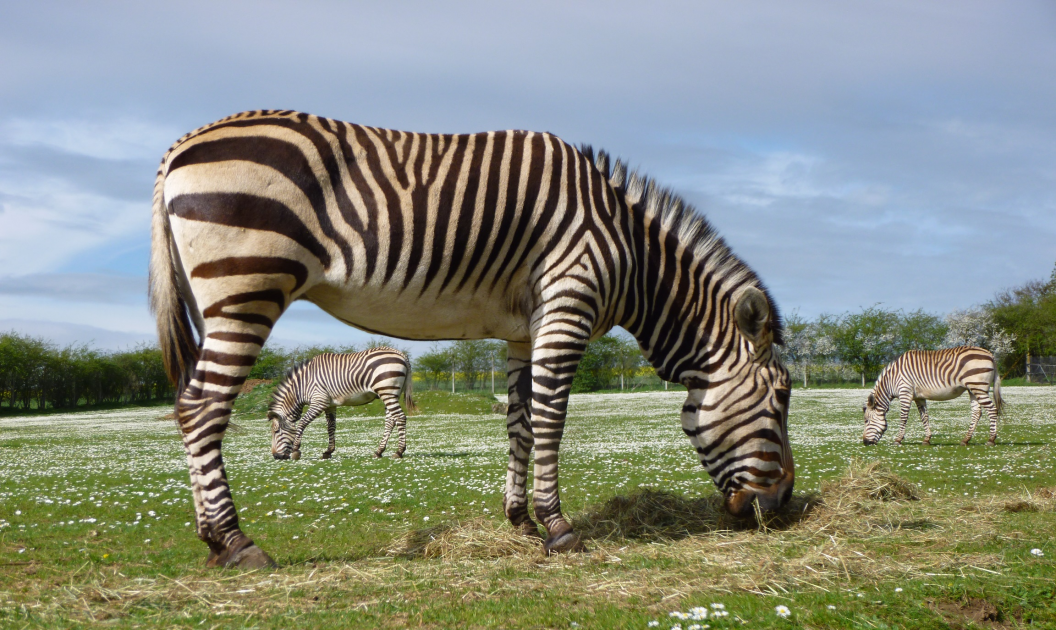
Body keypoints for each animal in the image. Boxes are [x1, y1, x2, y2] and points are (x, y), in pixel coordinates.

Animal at [268, 348, 416, 461]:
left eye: (276, 431)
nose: (276, 456)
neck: (302, 386)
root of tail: (401, 354)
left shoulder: (319, 401)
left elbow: (302, 423)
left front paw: (296, 450)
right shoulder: (330, 404)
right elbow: (331, 427)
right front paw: (328, 451)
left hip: (387, 391)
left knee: (400, 417)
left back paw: (399, 451)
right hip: (390, 394)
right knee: (391, 420)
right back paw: (379, 451)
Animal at [862, 346, 1003, 447]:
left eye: (866, 421)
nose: (865, 443)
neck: (892, 380)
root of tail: (990, 354)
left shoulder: (905, 393)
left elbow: (903, 417)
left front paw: (898, 439)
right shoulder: (918, 397)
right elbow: (924, 417)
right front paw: (927, 439)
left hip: (979, 388)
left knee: (992, 410)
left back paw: (991, 439)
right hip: (973, 390)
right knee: (977, 412)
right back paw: (965, 440)